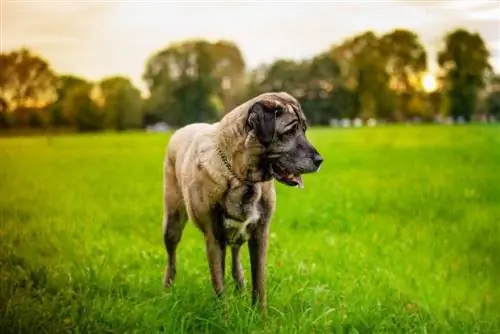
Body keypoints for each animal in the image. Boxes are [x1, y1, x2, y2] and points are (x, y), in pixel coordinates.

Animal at [162, 90, 322, 314]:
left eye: (304, 130)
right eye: (289, 132)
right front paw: (225, 317)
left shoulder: (260, 234)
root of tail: (182, 129)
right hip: (173, 222)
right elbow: (219, 287)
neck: (240, 176)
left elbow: (259, 283)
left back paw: (240, 287)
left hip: (238, 234)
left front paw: (260, 316)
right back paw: (168, 289)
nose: (320, 160)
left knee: (236, 257)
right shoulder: (213, 238)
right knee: (172, 256)